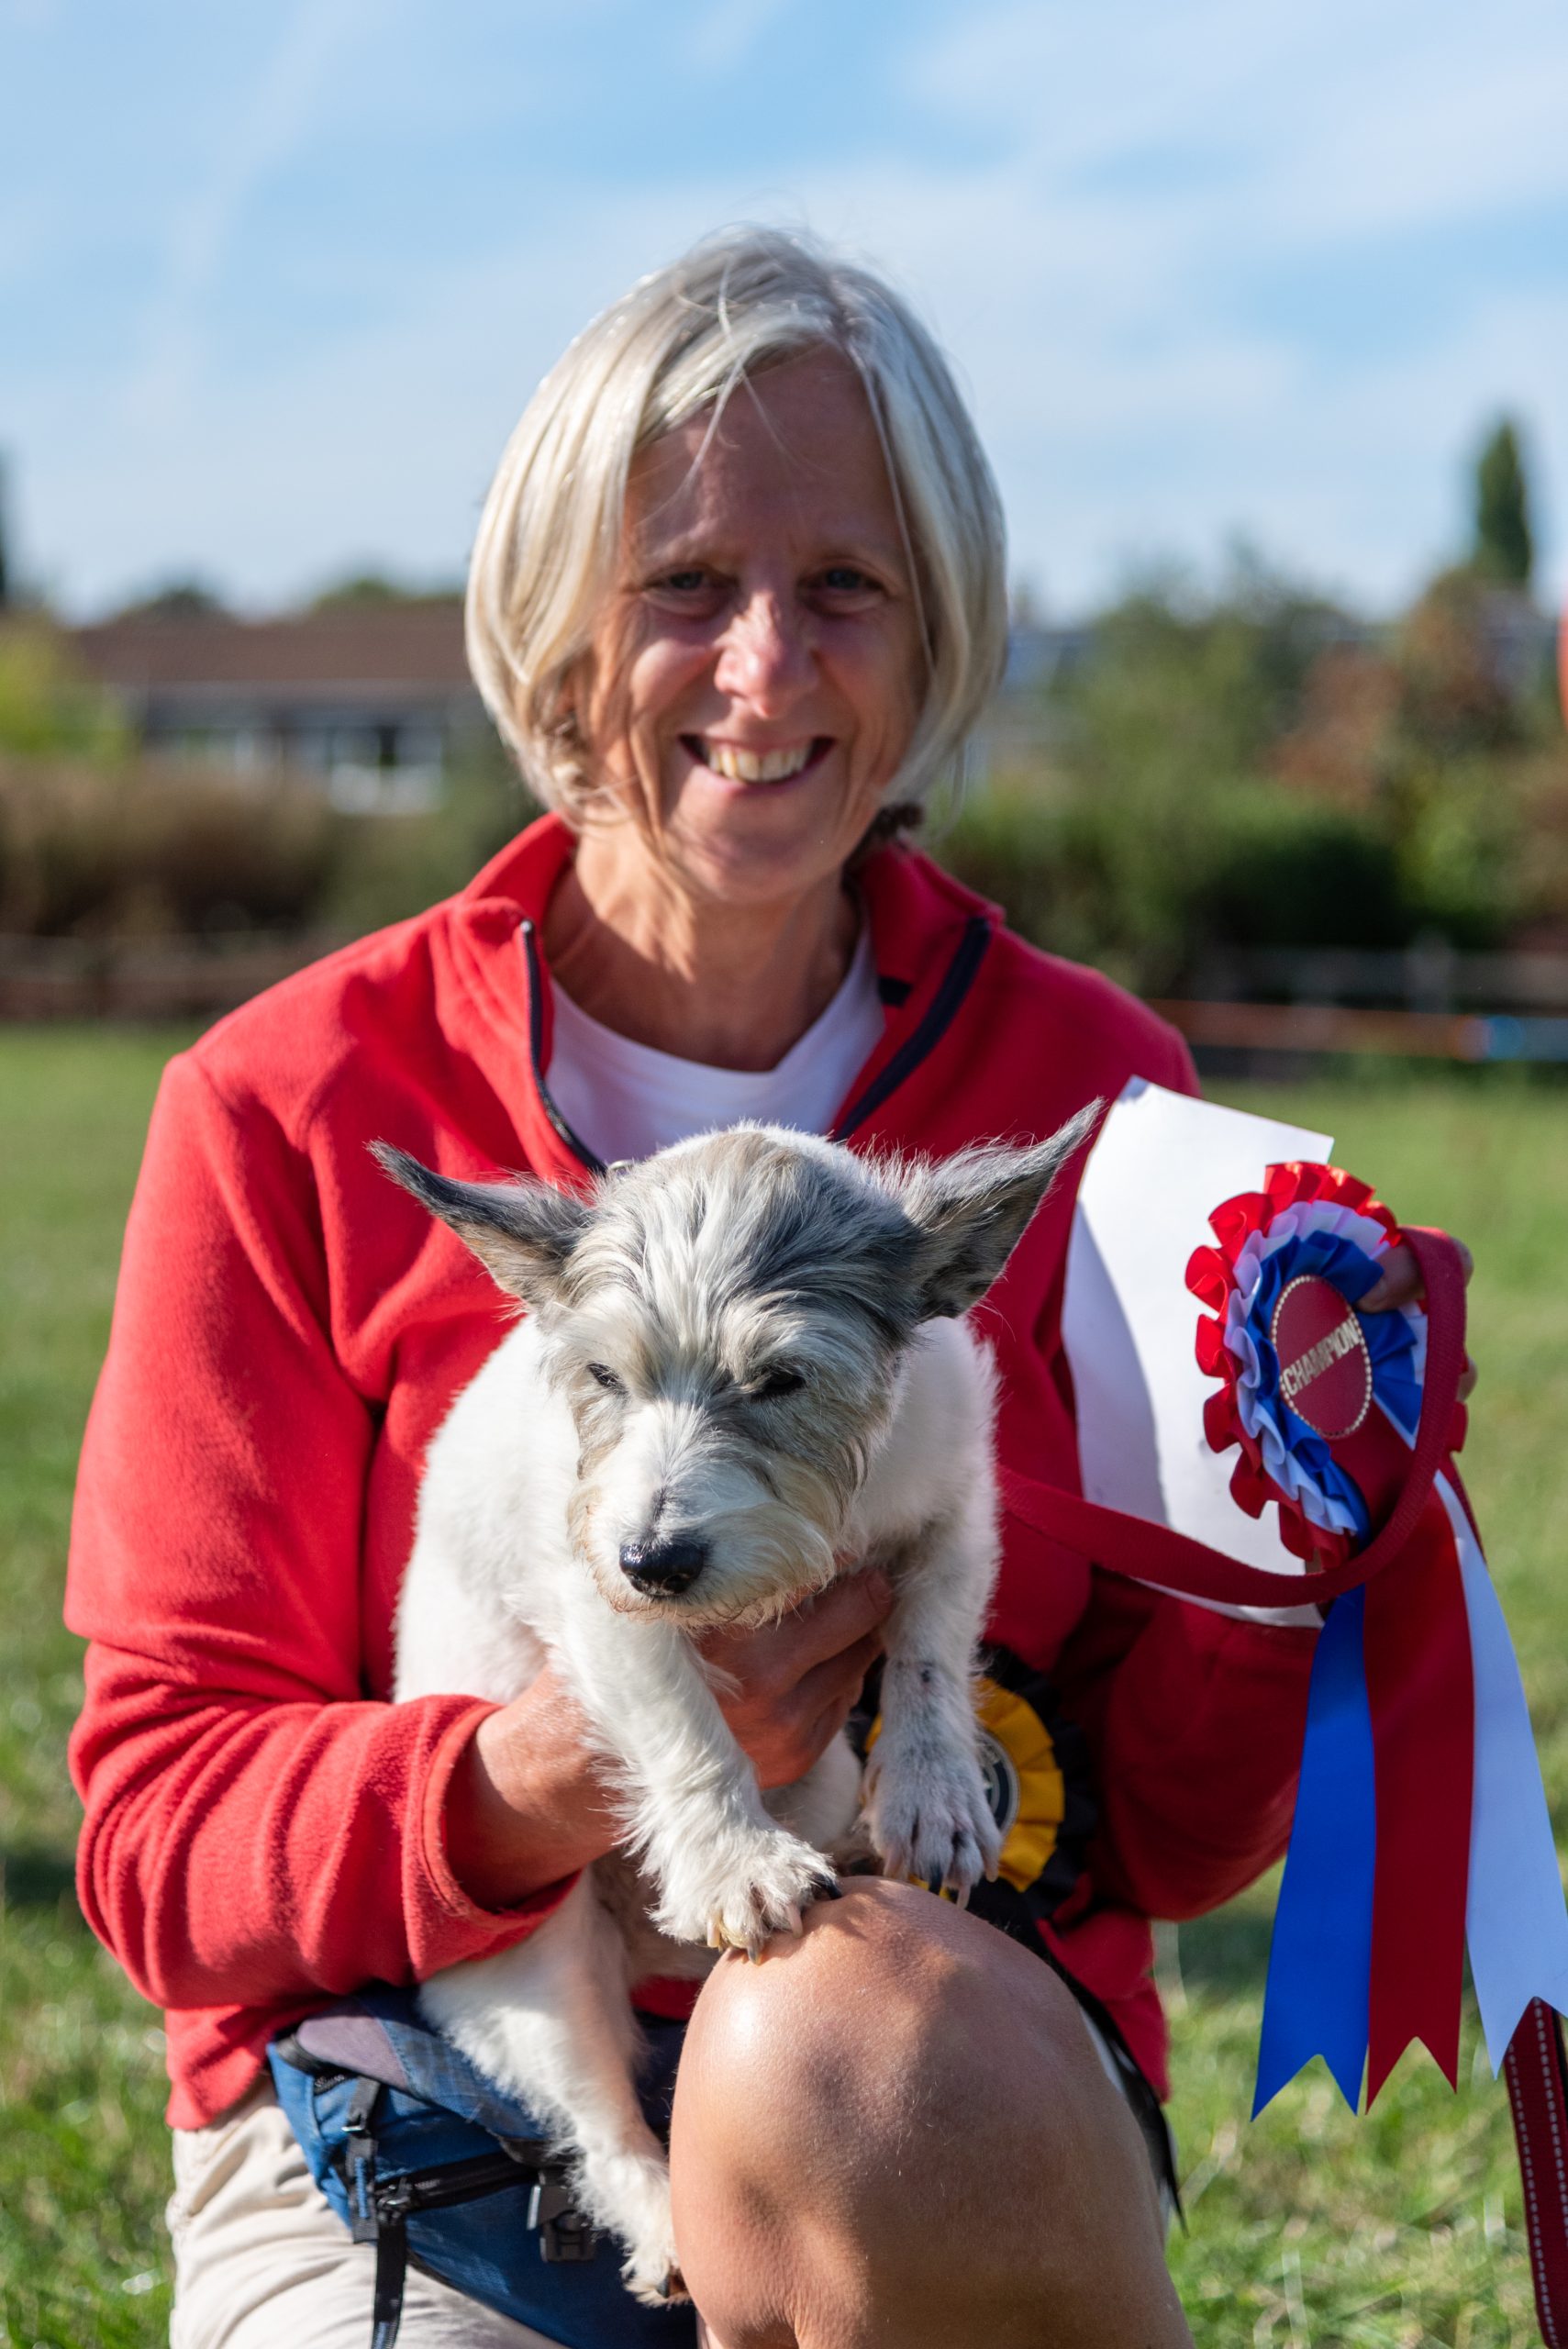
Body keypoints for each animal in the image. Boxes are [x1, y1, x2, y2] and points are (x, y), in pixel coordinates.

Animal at [375, 1108, 1098, 2301]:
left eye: (780, 1379)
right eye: (602, 1373)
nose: (657, 1557)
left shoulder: (954, 1507)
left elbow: (932, 1648)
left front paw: (933, 1791)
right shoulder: (602, 1597)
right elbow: (686, 1729)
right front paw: (733, 1861)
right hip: (537, 1979)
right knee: (597, 2122)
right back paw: (663, 2225)